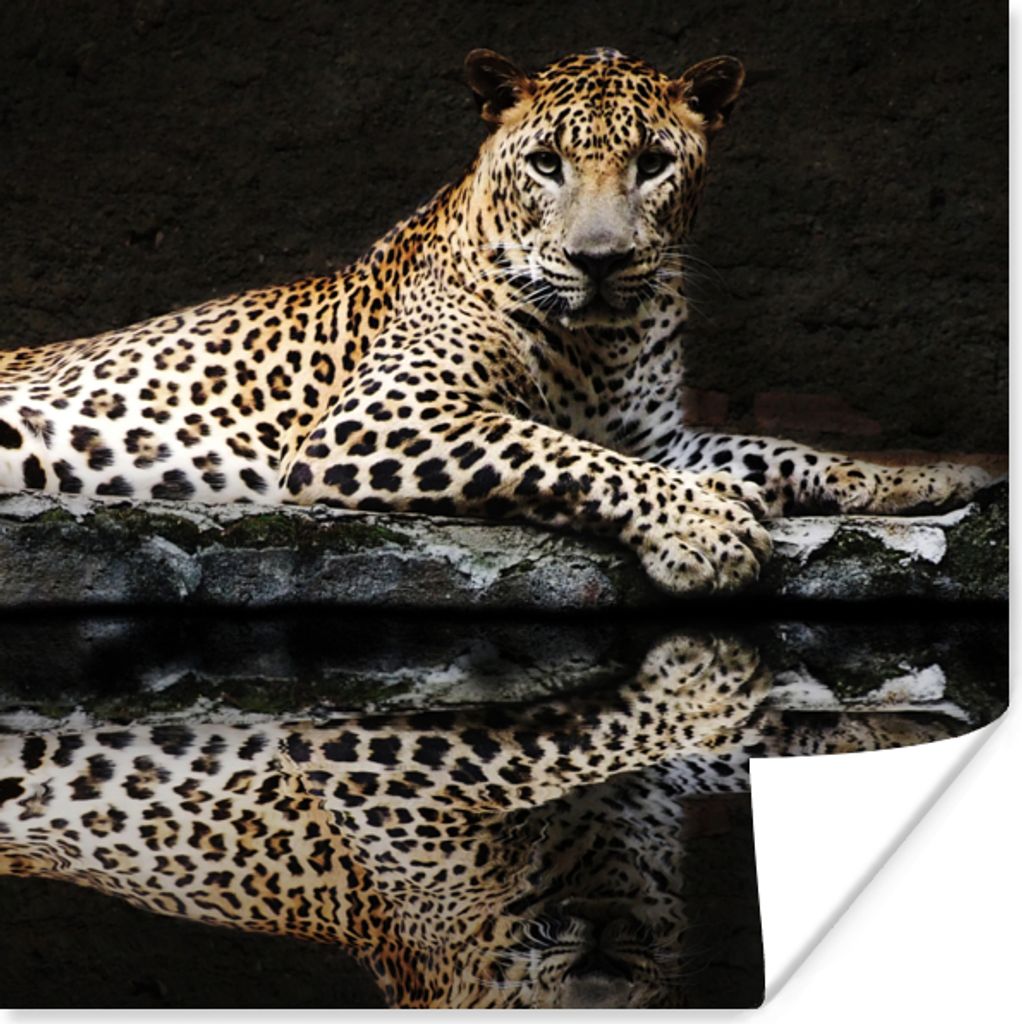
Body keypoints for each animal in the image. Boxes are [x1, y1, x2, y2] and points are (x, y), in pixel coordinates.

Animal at [0, 47, 992, 596]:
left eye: (655, 163)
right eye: (548, 163)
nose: (599, 260)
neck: (603, 339)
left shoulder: (658, 434)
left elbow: (783, 451)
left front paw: (926, 477)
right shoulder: (377, 422)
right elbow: (560, 453)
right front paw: (704, 527)